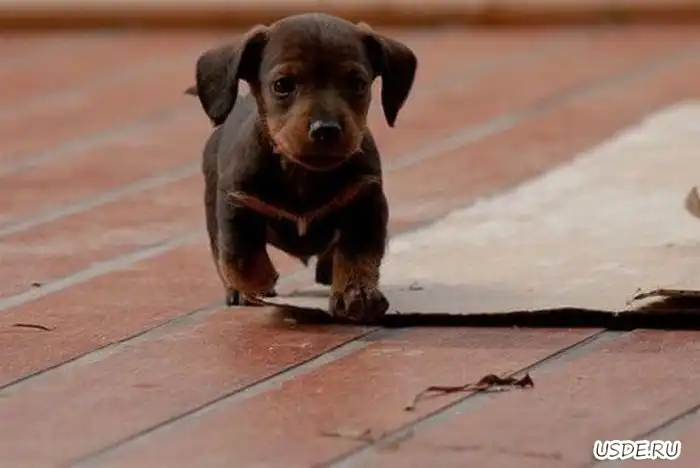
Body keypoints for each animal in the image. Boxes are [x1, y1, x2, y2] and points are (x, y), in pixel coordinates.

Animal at [186, 13, 417, 323]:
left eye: (358, 84)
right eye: (282, 85)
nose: (326, 130)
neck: (303, 174)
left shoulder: (365, 204)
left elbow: (357, 256)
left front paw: (356, 293)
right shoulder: (237, 204)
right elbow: (241, 257)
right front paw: (258, 284)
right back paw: (236, 291)